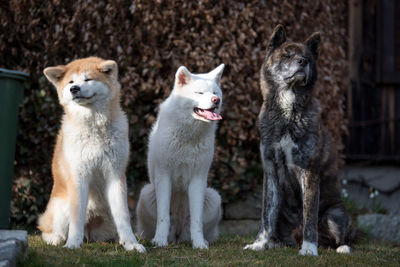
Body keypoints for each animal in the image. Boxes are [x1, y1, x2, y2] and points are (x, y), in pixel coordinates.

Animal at [38, 56, 145, 253]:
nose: (74, 89)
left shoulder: (115, 174)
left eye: (88, 79)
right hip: (61, 209)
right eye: (71, 82)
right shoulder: (78, 176)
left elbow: (124, 217)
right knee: (48, 229)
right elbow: (76, 218)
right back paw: (56, 239)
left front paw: (131, 244)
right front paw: (72, 243)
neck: (94, 128)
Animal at [137, 63, 225, 250]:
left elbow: (196, 221)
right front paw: (160, 242)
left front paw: (199, 244)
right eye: (199, 93)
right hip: (146, 193)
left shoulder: (197, 180)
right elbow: (163, 217)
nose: (216, 100)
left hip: (213, 197)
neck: (188, 137)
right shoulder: (164, 177)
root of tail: (177, 235)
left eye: (215, 92)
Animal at [244, 25, 356, 258]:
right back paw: (275, 244)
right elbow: (265, 217)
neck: (287, 113)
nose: (302, 62)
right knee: (282, 234)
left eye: (307, 57)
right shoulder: (271, 171)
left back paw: (340, 247)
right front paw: (258, 243)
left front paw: (309, 248)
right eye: (287, 55)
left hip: (335, 215)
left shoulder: (309, 171)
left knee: (337, 239)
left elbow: (309, 216)